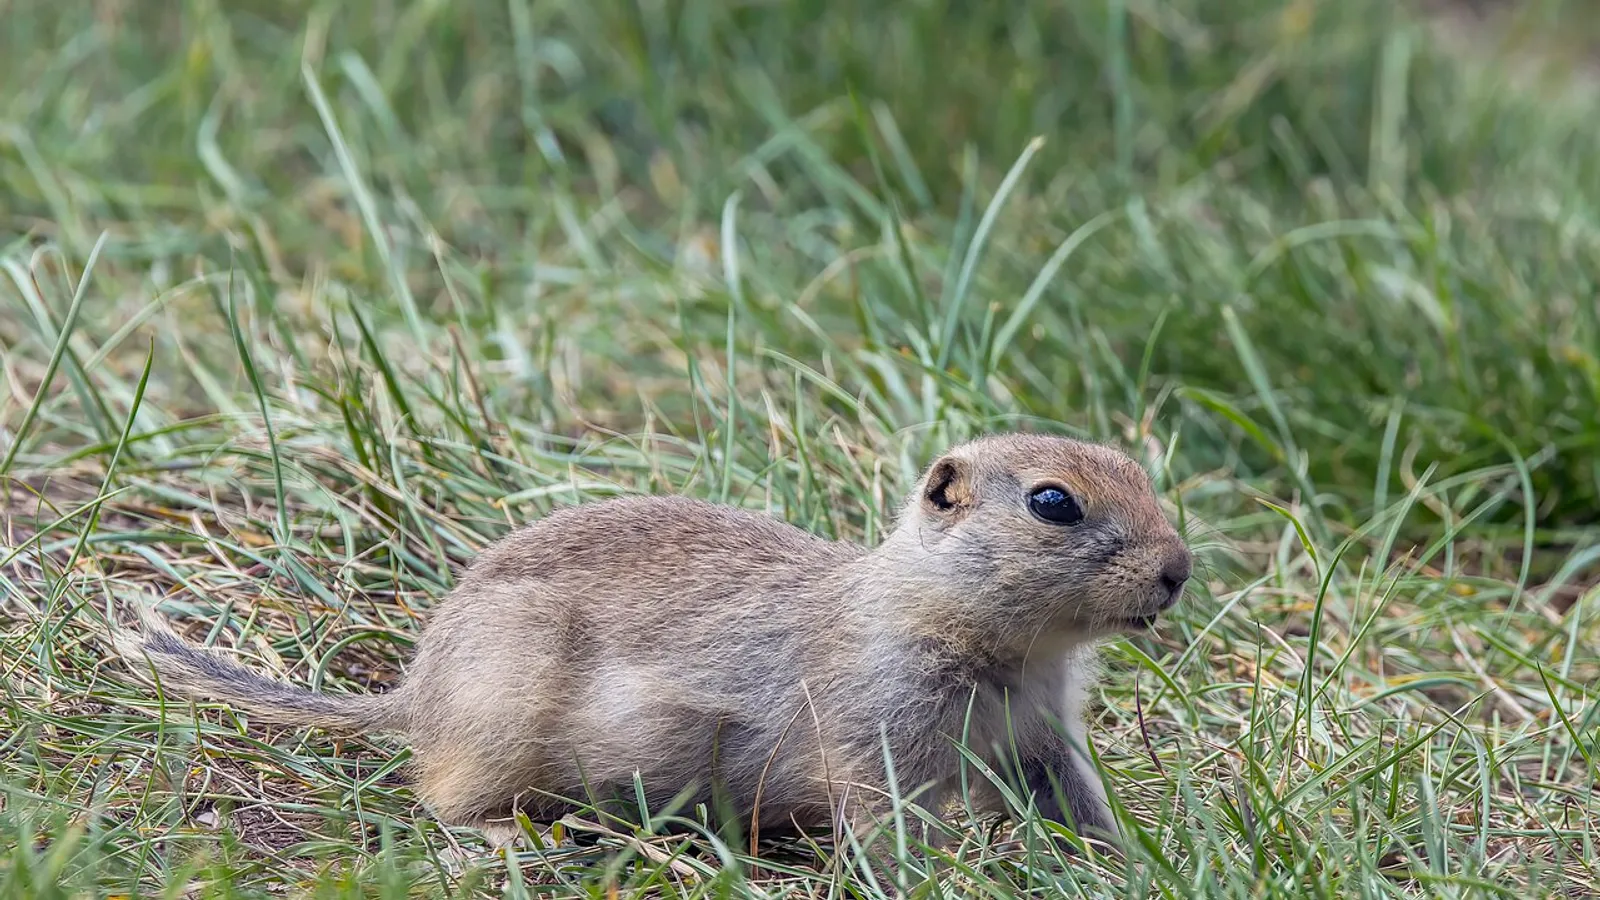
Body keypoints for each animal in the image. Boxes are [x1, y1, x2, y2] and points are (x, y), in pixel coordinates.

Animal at [114, 433, 1192, 853]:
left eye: (1144, 473)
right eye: (1052, 503)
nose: (1179, 569)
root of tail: (414, 691)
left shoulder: (1043, 737)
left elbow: (1077, 803)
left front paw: (1120, 861)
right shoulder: (878, 735)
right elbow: (889, 825)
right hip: (504, 718)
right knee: (439, 800)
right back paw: (518, 835)